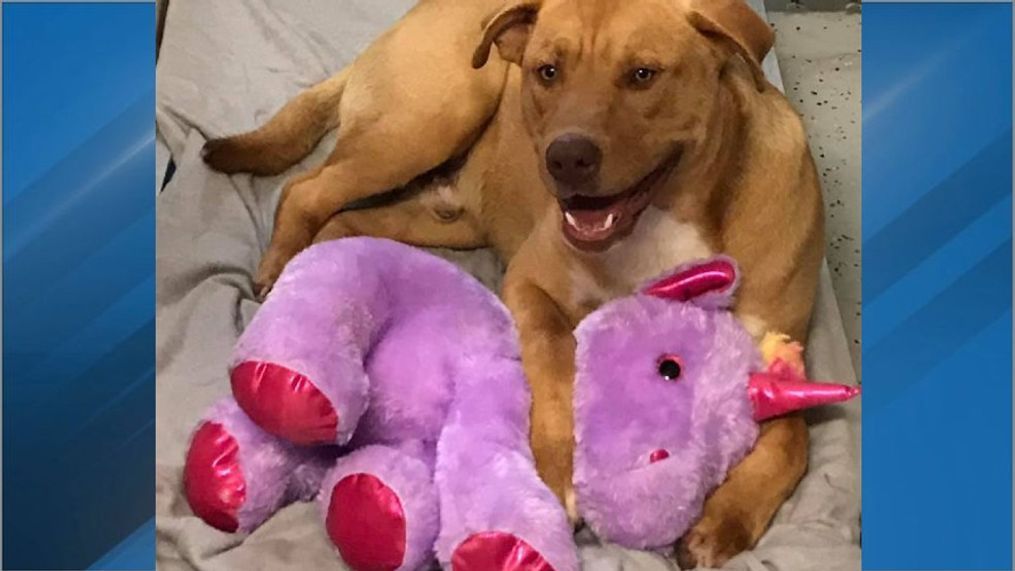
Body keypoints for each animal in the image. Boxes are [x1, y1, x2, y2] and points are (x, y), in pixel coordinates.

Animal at [204, 0, 824, 563]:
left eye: (643, 74)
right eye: (546, 71)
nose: (565, 158)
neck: (666, 219)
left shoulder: (776, 349)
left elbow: (796, 437)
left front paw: (726, 519)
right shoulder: (531, 287)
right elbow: (553, 361)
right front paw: (557, 475)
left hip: (440, 218)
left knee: (341, 220)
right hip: (435, 115)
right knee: (305, 190)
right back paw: (280, 269)